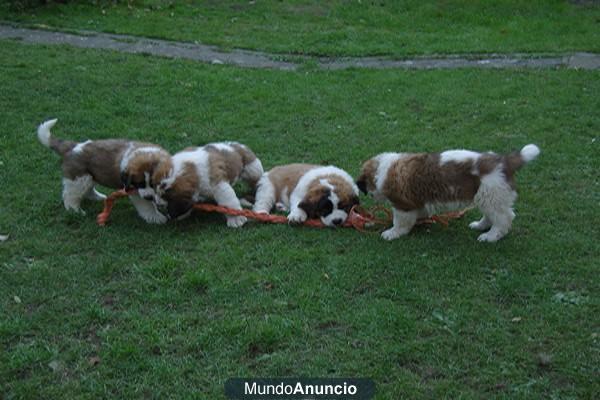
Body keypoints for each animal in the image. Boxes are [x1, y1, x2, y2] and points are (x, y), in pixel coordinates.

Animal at [37, 119, 172, 225]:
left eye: (154, 184)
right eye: (139, 184)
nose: (149, 197)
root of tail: (73, 147)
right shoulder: (135, 190)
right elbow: (146, 206)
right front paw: (157, 217)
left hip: (90, 176)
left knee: (87, 190)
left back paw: (99, 197)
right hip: (79, 178)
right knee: (70, 196)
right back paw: (76, 211)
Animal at [354, 145, 540, 242]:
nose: (370, 196)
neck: (383, 170)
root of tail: (504, 161)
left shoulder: (403, 205)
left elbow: (400, 221)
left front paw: (392, 232)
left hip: (491, 195)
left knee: (504, 218)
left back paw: (491, 236)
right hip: (486, 195)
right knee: (492, 215)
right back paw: (480, 226)